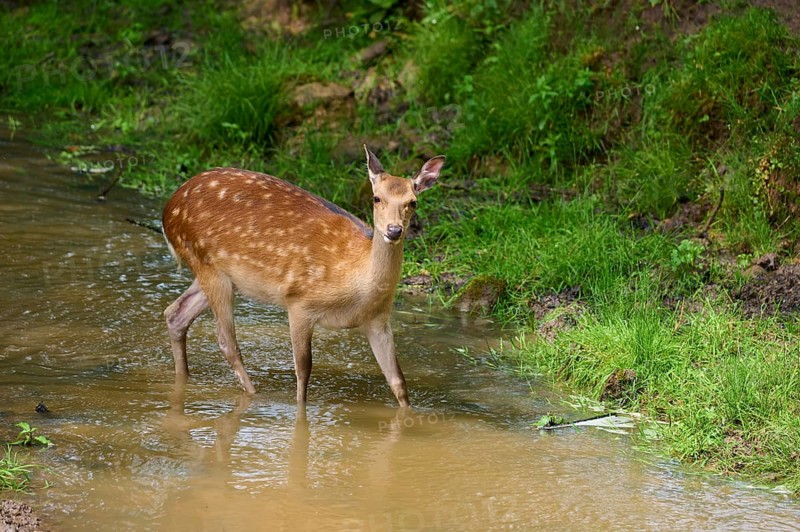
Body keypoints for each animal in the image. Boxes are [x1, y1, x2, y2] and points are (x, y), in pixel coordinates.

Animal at [161, 146, 445, 408]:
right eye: (376, 198)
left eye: (413, 202)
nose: (394, 230)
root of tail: (167, 211)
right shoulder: (299, 302)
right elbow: (303, 371)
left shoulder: (378, 320)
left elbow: (398, 381)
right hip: (208, 265)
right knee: (226, 342)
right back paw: (253, 394)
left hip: (219, 275)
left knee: (176, 314)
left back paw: (184, 379)